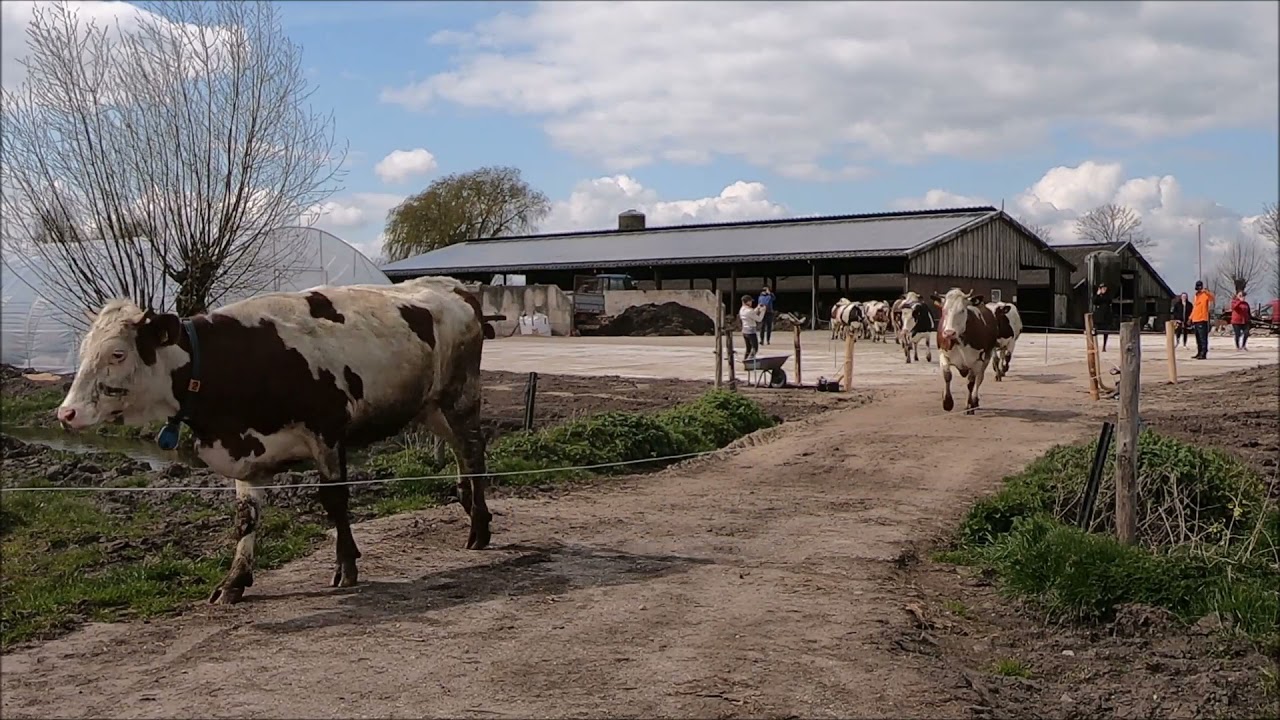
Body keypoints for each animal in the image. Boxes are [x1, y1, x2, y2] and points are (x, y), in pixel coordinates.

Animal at [55, 276, 497, 605]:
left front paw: (346, 566)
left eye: (117, 354)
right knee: (459, 450)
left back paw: (479, 526)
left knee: (473, 450)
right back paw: (468, 503)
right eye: (84, 350)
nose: (66, 413)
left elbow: (335, 502)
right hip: (430, 406)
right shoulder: (247, 452)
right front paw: (234, 582)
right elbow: (245, 518)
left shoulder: (326, 434)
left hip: (461, 395)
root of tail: (452, 286)